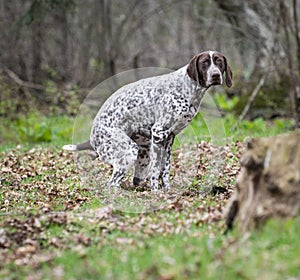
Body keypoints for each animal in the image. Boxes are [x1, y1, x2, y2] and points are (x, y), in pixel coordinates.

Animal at [62, 50, 232, 190]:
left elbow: (165, 170)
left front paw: (166, 191)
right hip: (129, 151)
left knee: (133, 180)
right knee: (112, 184)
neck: (188, 88)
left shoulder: (169, 138)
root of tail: (92, 138)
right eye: (204, 62)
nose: (216, 75)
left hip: (143, 152)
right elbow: (156, 171)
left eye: (219, 62)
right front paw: (156, 193)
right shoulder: (158, 133)